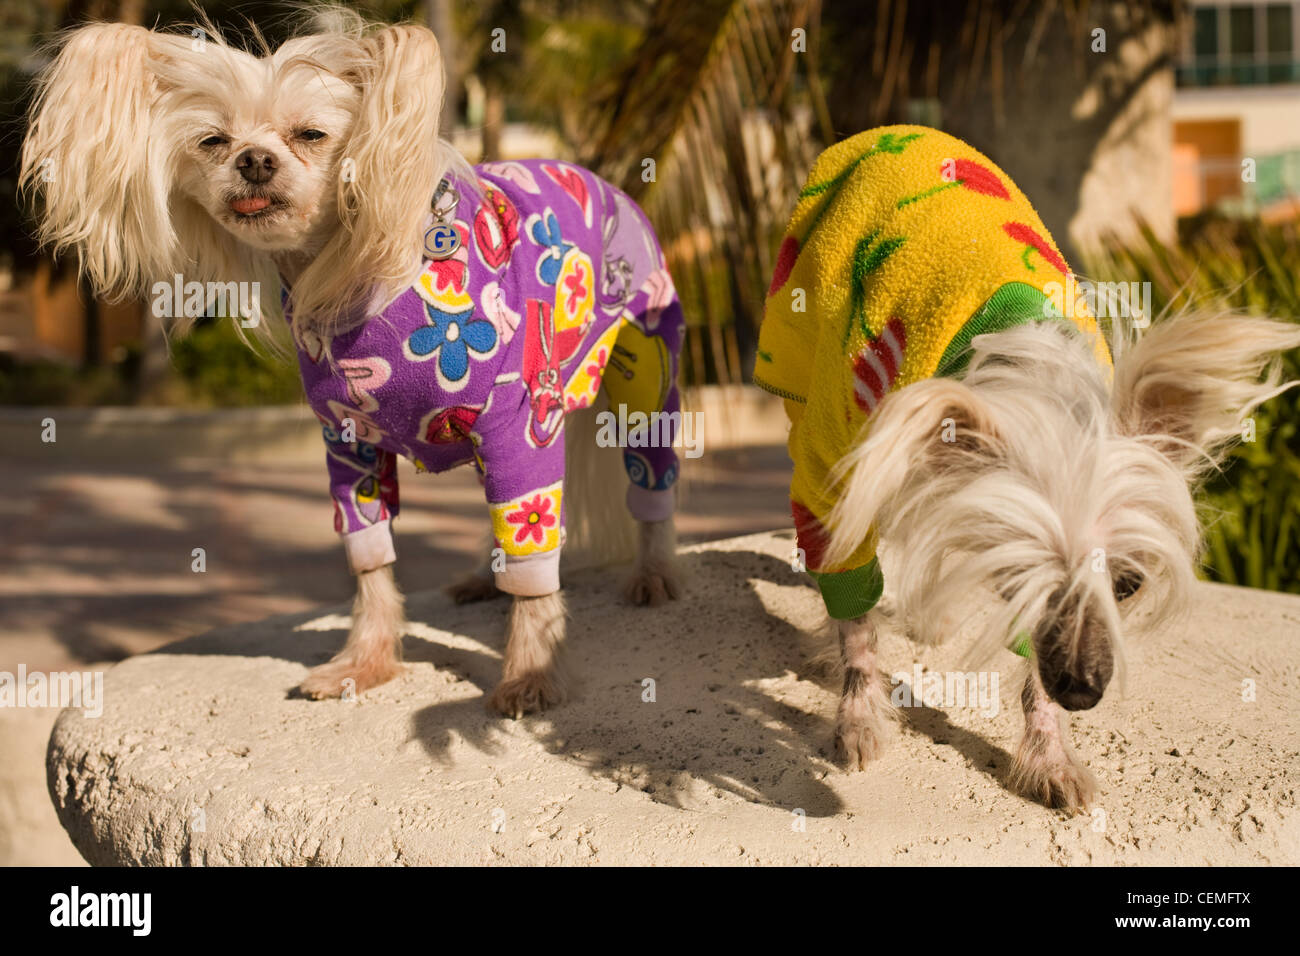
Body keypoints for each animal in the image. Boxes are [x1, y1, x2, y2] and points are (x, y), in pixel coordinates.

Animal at [759, 127, 1300, 811]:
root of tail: (889, 131)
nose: (1081, 690)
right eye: (1012, 580)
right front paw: (857, 715)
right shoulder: (834, 467)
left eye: (1128, 585)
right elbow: (852, 613)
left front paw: (1049, 753)